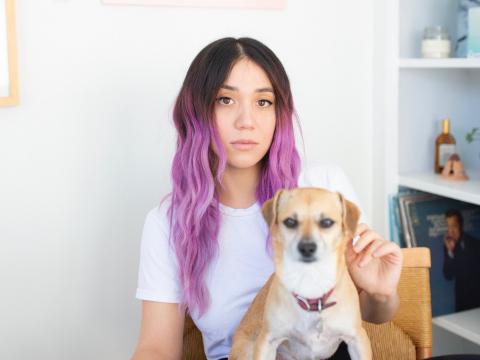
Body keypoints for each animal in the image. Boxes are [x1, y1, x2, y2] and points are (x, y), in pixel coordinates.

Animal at [231, 187, 374, 360]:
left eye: (327, 222)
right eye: (290, 222)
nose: (307, 247)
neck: (310, 282)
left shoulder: (357, 338)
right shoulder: (267, 341)